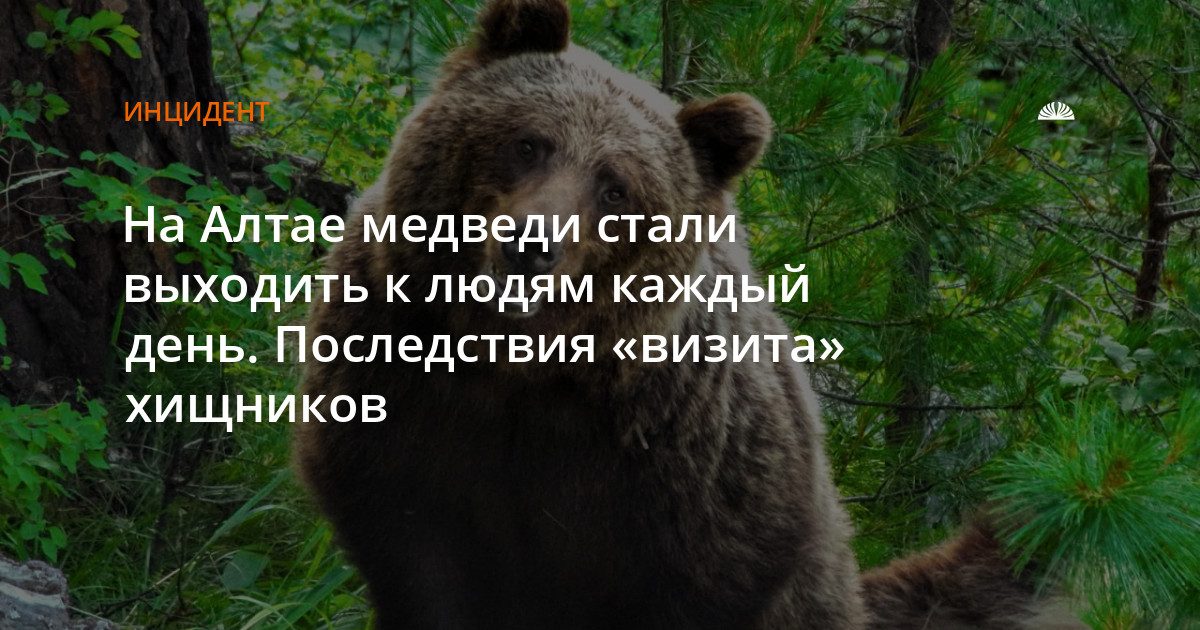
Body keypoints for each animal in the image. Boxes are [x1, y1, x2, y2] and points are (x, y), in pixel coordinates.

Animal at [294, 0, 1039, 628]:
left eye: (616, 188)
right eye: (529, 142)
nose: (530, 245)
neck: (513, 365)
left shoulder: (683, 481)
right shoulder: (400, 399)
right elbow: (416, 554)